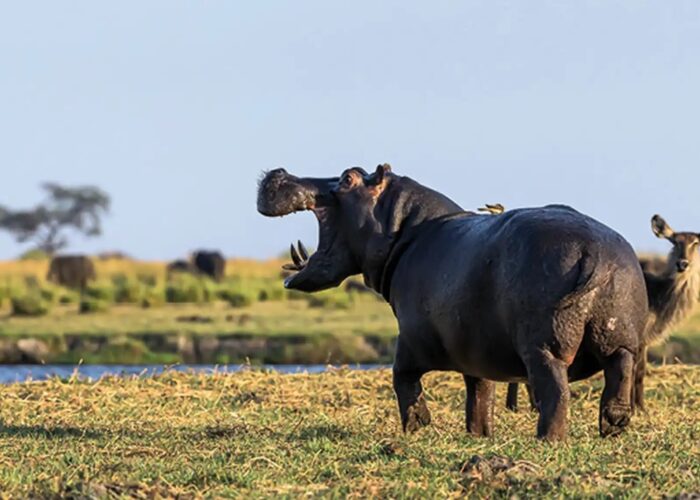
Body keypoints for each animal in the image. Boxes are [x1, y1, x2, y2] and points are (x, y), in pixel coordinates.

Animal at [257, 165, 648, 440]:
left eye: (348, 177)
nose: (279, 171)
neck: (402, 228)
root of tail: (596, 255)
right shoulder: (478, 350)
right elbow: (479, 393)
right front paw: (479, 435)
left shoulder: (410, 339)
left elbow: (403, 378)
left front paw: (418, 428)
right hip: (621, 337)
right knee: (619, 376)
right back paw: (613, 429)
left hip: (543, 349)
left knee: (556, 394)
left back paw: (547, 441)